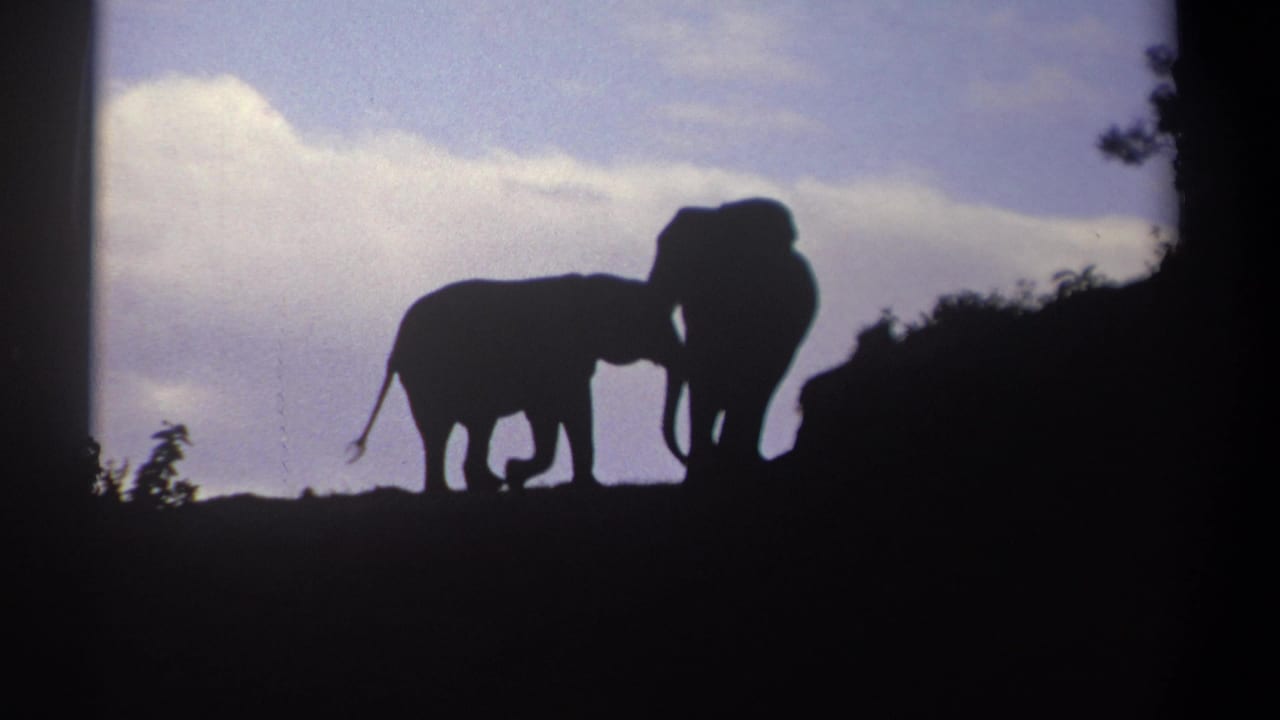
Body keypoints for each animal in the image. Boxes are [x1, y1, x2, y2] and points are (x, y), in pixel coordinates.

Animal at [349, 273, 683, 493]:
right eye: (655, 322)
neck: (593, 285)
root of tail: (396, 348)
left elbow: (549, 415)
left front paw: (517, 474)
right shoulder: (562, 358)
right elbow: (569, 410)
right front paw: (519, 474)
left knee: (461, 429)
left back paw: (476, 486)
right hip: (430, 376)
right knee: (452, 428)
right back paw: (473, 487)